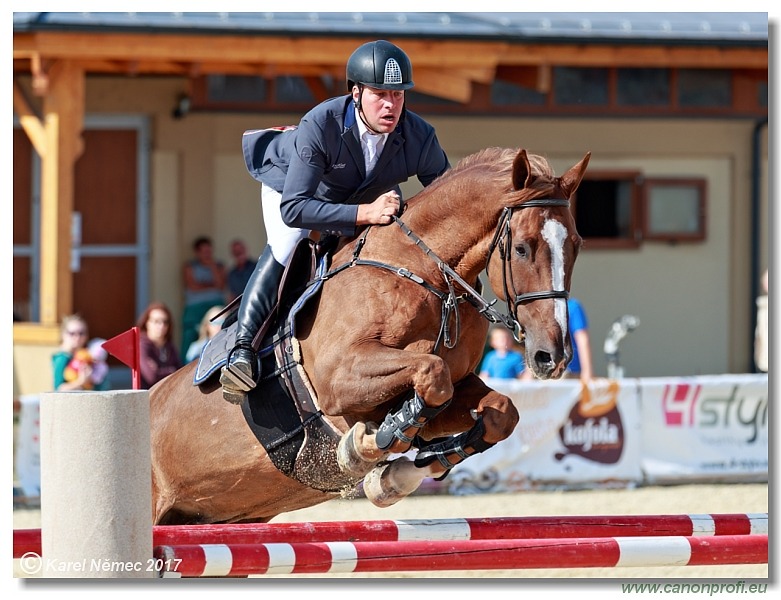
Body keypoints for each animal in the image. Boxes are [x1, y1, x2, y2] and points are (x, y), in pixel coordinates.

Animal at [151, 146, 592, 524]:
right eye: (522, 248)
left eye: (576, 244)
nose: (553, 356)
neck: (425, 273)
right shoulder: (340, 380)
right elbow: (432, 374)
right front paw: (368, 448)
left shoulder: (457, 382)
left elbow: (499, 411)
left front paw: (395, 474)